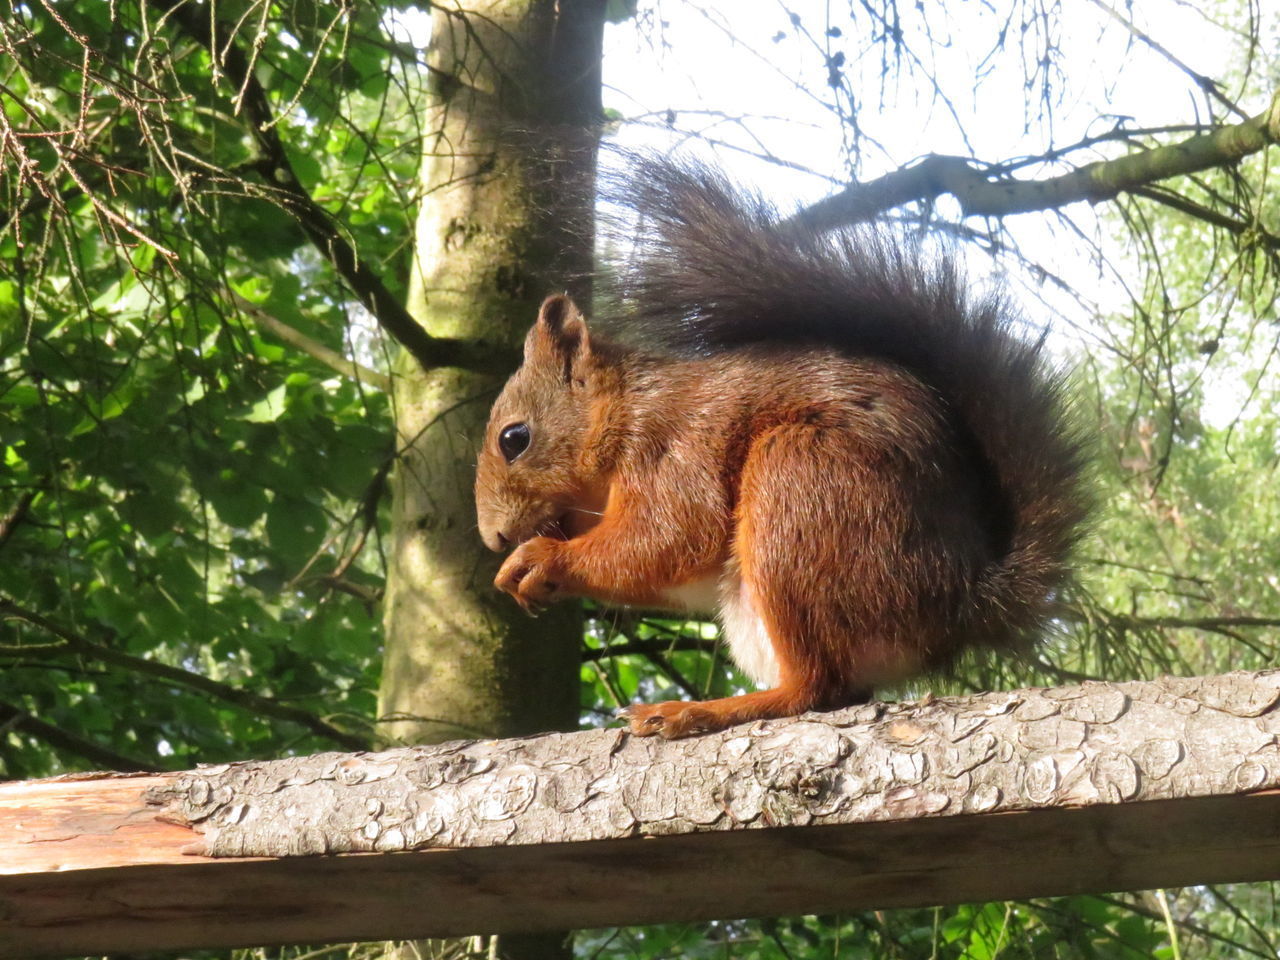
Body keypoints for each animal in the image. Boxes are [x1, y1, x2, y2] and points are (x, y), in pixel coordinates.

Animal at [476, 156, 1085, 742]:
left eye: (514, 438)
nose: (494, 538)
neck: (622, 414)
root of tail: (957, 600)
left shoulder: (671, 447)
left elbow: (672, 537)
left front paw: (541, 558)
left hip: (802, 487)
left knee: (817, 688)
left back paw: (701, 711)